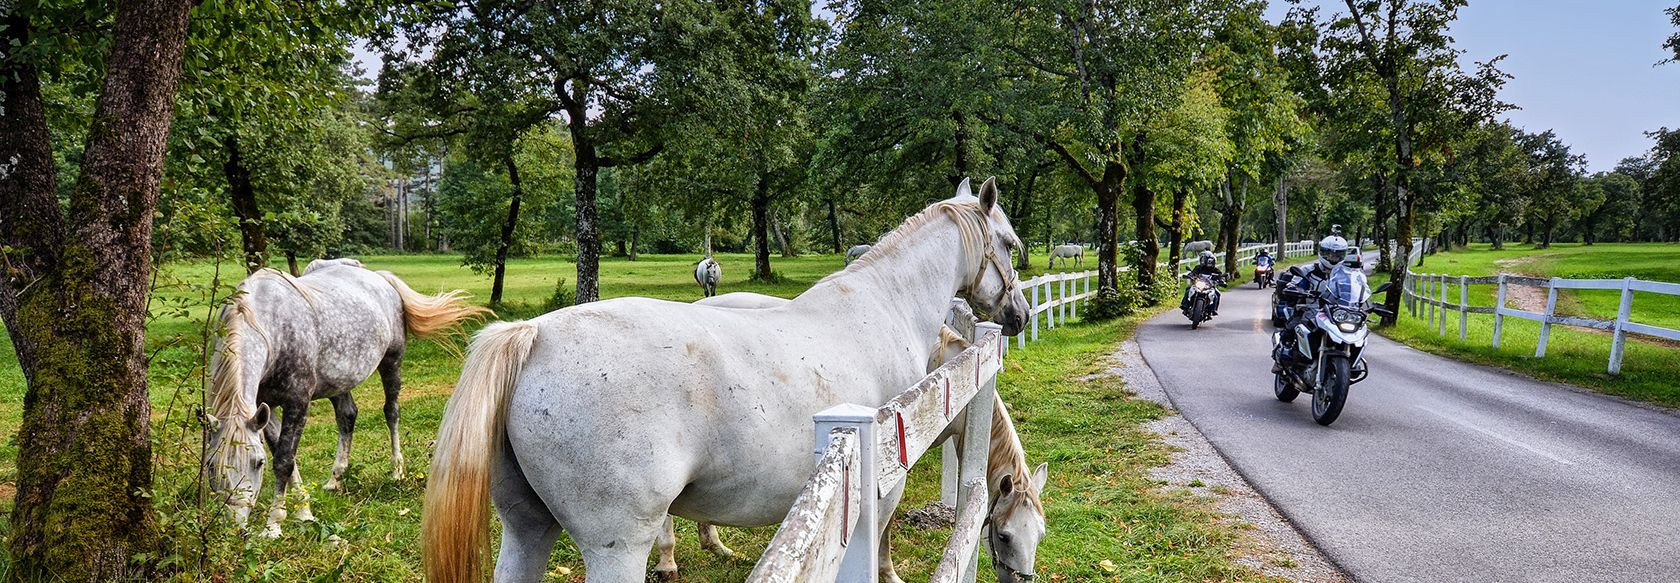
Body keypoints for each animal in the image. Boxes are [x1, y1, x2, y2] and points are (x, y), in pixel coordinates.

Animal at [204, 260, 490, 537]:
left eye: (258, 463)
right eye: (210, 465)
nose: (235, 527)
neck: (271, 326)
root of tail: (380, 277)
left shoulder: (297, 401)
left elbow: (284, 460)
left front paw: (274, 524)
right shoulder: (266, 407)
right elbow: (286, 455)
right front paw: (303, 511)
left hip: (392, 363)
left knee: (391, 412)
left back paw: (397, 470)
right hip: (340, 380)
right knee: (347, 416)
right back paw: (336, 478)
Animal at [423, 178, 1021, 583]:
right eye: (1012, 244)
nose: (1017, 315)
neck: (882, 307)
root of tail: (533, 335)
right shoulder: (883, 486)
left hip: (526, 527)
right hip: (617, 546)